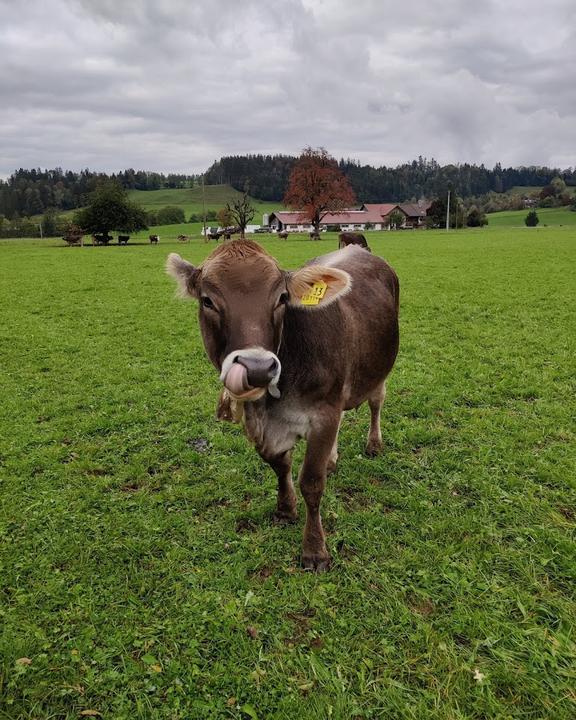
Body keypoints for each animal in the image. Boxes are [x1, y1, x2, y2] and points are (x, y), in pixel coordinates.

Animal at [165, 242, 400, 572]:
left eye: (282, 298)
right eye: (207, 300)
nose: (257, 368)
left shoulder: (324, 413)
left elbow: (311, 482)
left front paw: (314, 550)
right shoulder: (259, 423)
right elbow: (279, 465)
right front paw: (285, 509)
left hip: (380, 368)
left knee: (376, 402)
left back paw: (374, 444)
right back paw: (332, 458)